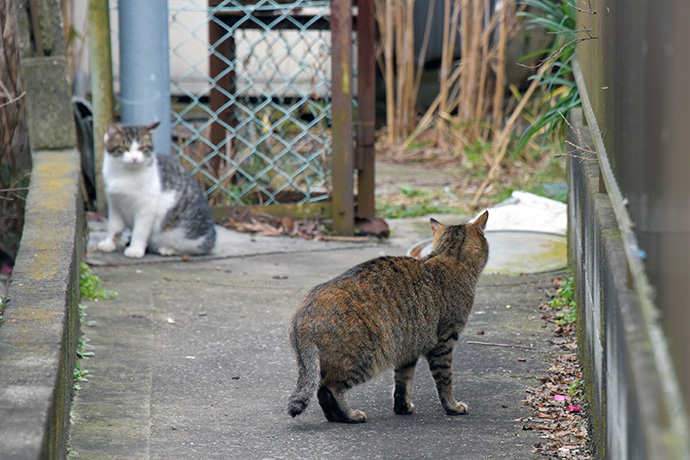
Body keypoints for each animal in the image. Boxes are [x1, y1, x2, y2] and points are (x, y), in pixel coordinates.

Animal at [97, 121, 215, 258]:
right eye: (125, 148)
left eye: (142, 148)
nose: (134, 158)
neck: (125, 174)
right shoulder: (115, 204)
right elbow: (114, 227)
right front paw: (109, 243)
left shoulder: (146, 208)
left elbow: (140, 231)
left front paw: (135, 249)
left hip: (183, 233)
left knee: (192, 247)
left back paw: (168, 249)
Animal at [288, 210, 486, 422]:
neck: (449, 256)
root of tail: (301, 316)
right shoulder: (443, 342)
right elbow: (445, 380)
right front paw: (452, 407)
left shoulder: (408, 347)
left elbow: (403, 383)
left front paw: (403, 407)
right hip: (365, 358)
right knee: (329, 387)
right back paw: (350, 416)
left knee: (319, 390)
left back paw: (336, 417)